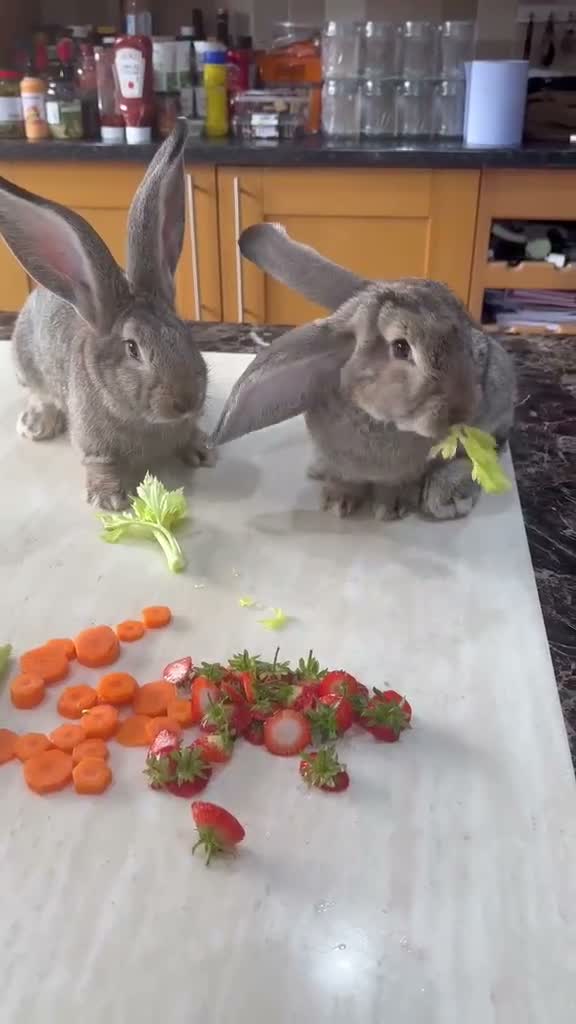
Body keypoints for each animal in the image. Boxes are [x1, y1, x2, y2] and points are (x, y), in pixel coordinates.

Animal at [0, 120, 212, 510]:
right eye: (132, 349)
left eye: (185, 333)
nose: (186, 400)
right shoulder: (92, 442)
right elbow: (99, 463)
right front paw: (110, 500)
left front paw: (202, 451)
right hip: (25, 361)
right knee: (38, 392)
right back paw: (36, 423)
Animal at [212, 223, 515, 521]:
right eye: (401, 347)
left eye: (462, 337)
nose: (462, 412)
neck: (376, 419)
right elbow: (345, 479)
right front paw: (338, 502)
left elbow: (399, 484)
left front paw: (391, 508)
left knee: (489, 447)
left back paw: (447, 496)